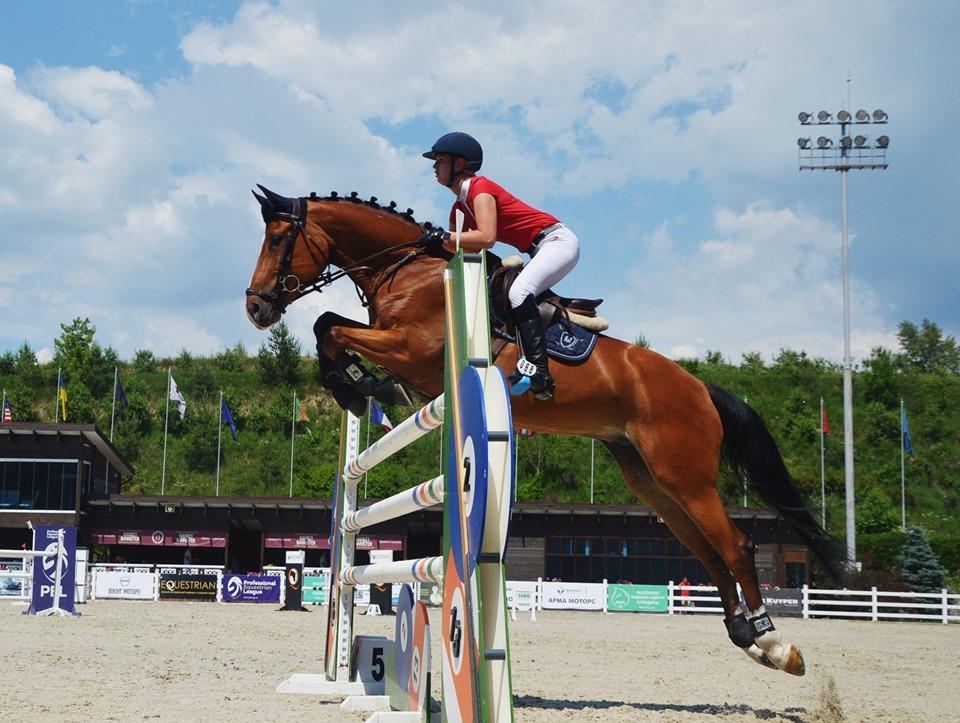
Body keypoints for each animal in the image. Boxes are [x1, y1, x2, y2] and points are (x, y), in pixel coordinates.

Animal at [244, 186, 845, 676]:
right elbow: (329, 327)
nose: (255, 308)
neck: (407, 271)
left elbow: (330, 327)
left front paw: (360, 386)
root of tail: (701, 388)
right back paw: (746, 636)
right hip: (652, 481)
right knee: (708, 551)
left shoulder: (412, 349)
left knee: (737, 545)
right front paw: (356, 385)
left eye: (277, 239)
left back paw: (774, 643)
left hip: (687, 476)